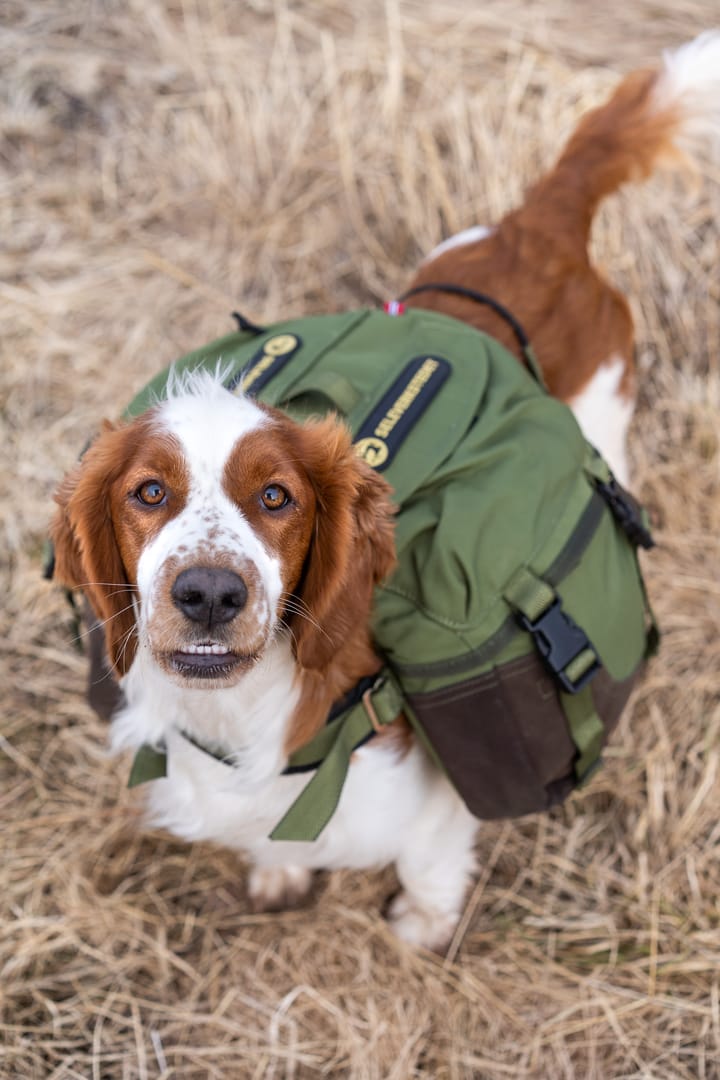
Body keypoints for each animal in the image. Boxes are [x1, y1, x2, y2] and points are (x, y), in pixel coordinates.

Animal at [50, 31, 720, 954]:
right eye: (149, 492)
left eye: (278, 499)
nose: (211, 594)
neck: (243, 717)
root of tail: (534, 228)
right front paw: (278, 876)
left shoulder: (427, 803)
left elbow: (431, 858)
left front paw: (421, 928)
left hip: (607, 425)